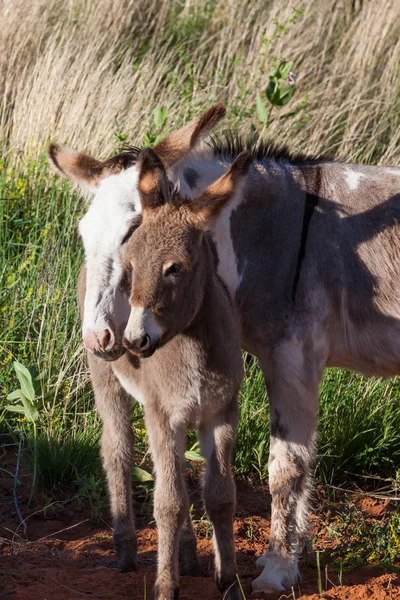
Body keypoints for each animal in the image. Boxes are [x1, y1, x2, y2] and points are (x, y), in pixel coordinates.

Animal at [117, 146, 252, 600]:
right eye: (129, 266)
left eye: (174, 268)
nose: (134, 341)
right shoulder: (161, 416)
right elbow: (168, 503)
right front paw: (165, 585)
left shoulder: (222, 413)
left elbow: (220, 496)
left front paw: (229, 580)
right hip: (109, 384)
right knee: (119, 454)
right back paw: (125, 551)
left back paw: (190, 555)